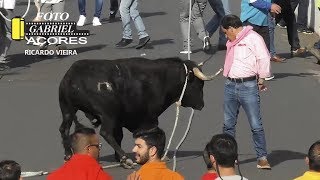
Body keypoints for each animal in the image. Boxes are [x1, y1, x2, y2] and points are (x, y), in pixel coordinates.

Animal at [58, 57, 220, 167]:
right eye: (199, 84)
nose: (201, 105)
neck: (160, 78)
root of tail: (73, 77)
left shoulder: (121, 120)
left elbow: (119, 136)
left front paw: (118, 157)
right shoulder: (148, 118)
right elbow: (153, 134)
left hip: (67, 109)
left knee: (64, 129)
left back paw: (68, 154)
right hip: (107, 114)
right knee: (105, 132)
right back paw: (126, 158)